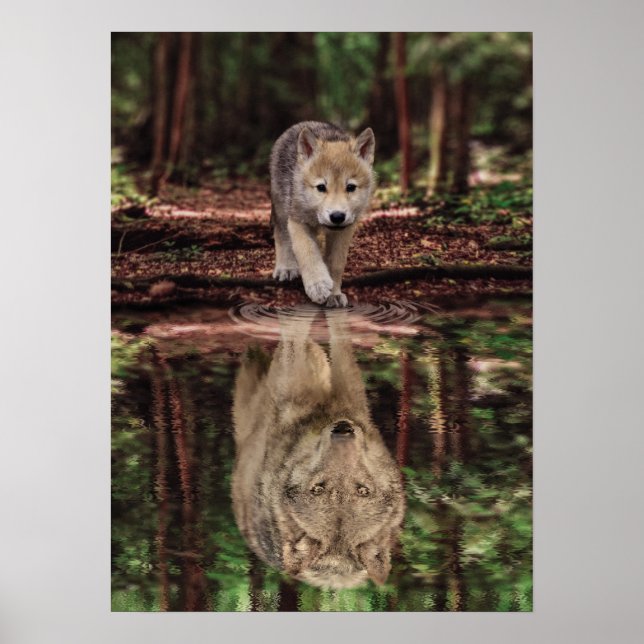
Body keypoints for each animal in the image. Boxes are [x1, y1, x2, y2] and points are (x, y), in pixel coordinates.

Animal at [269, 121, 376, 307]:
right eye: (321, 187)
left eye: (350, 187)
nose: (337, 216)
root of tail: (304, 123)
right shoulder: (297, 221)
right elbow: (307, 251)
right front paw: (317, 285)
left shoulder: (345, 230)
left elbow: (335, 263)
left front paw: (334, 293)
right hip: (282, 209)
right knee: (281, 235)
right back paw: (286, 268)